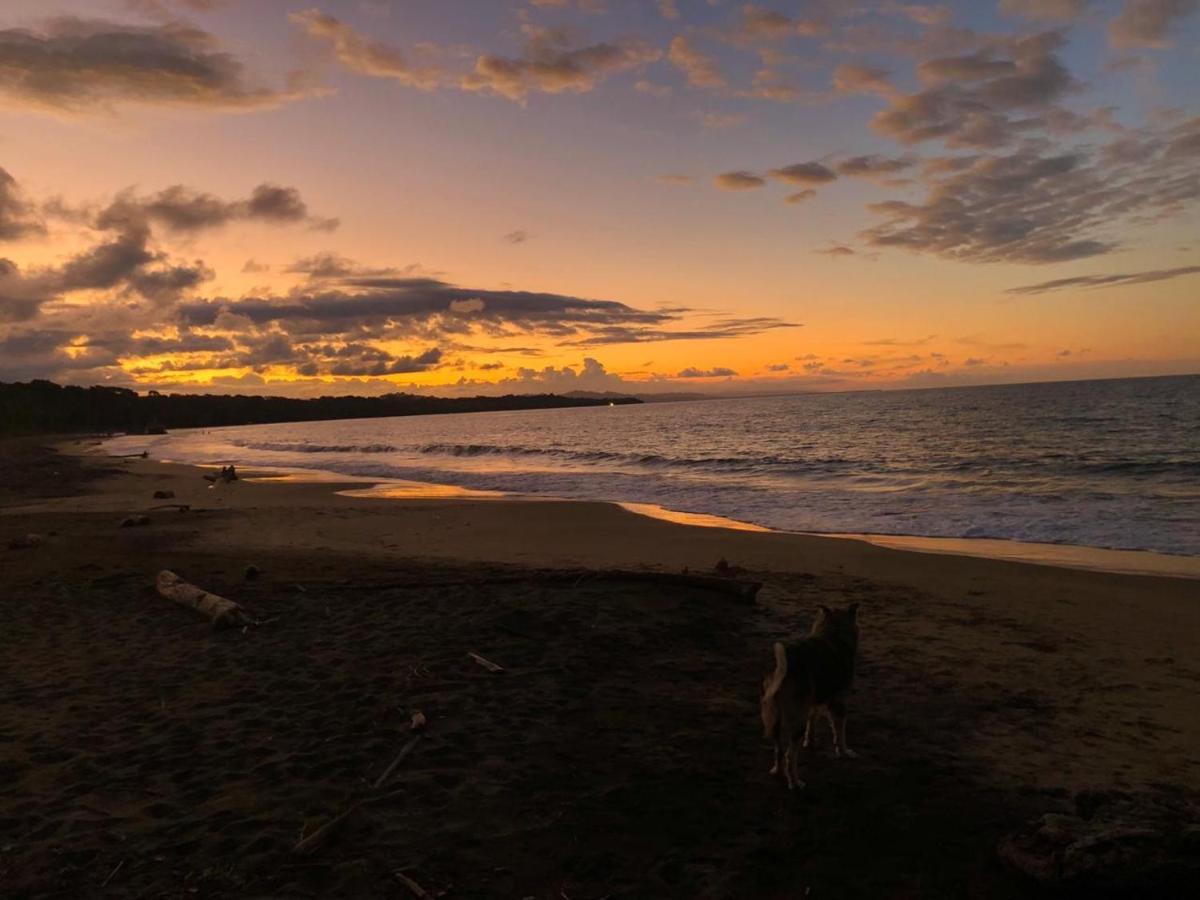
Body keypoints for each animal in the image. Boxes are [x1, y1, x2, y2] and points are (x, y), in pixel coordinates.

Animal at [763, 607, 859, 787]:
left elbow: (813, 721)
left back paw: (777, 772)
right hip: (796, 721)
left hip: (776, 720)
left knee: (779, 750)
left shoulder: (814, 703)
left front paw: (811, 742)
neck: (833, 634)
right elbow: (840, 733)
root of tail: (785, 669)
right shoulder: (839, 703)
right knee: (790, 756)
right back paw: (795, 782)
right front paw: (844, 752)